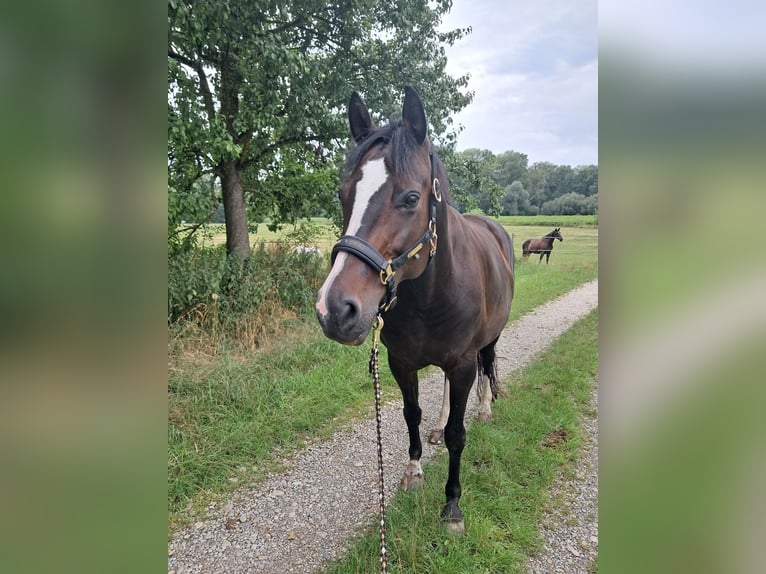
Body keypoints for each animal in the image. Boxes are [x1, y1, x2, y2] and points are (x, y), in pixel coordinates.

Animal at [316, 86, 515, 534]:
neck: (431, 296)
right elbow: (412, 415)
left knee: (488, 364)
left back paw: (486, 408)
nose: (334, 309)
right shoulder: (401, 363)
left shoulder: (462, 362)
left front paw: (452, 506)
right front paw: (413, 471)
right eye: (342, 194)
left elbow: (460, 433)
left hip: (488, 339)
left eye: (410, 197)